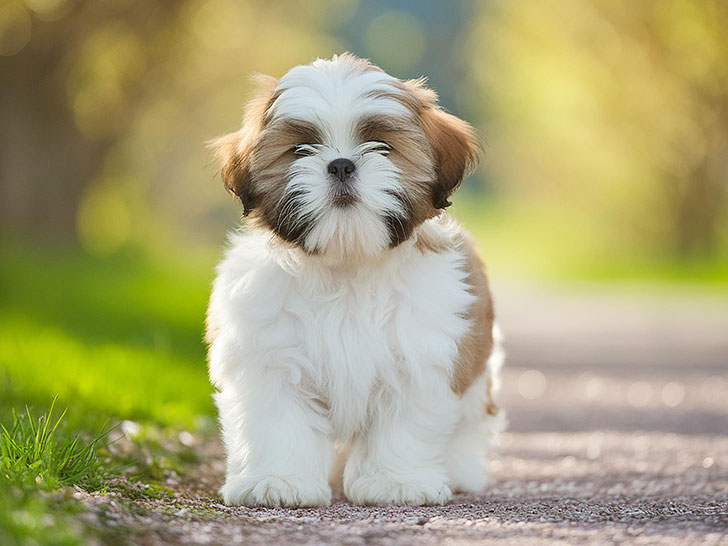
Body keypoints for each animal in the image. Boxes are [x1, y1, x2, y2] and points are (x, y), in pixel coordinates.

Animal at [203, 53, 500, 504]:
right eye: (300, 149)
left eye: (382, 146)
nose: (341, 164)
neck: (348, 263)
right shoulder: (269, 356)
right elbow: (277, 421)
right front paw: (278, 481)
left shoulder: (418, 356)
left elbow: (404, 425)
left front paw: (395, 482)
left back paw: (460, 470)